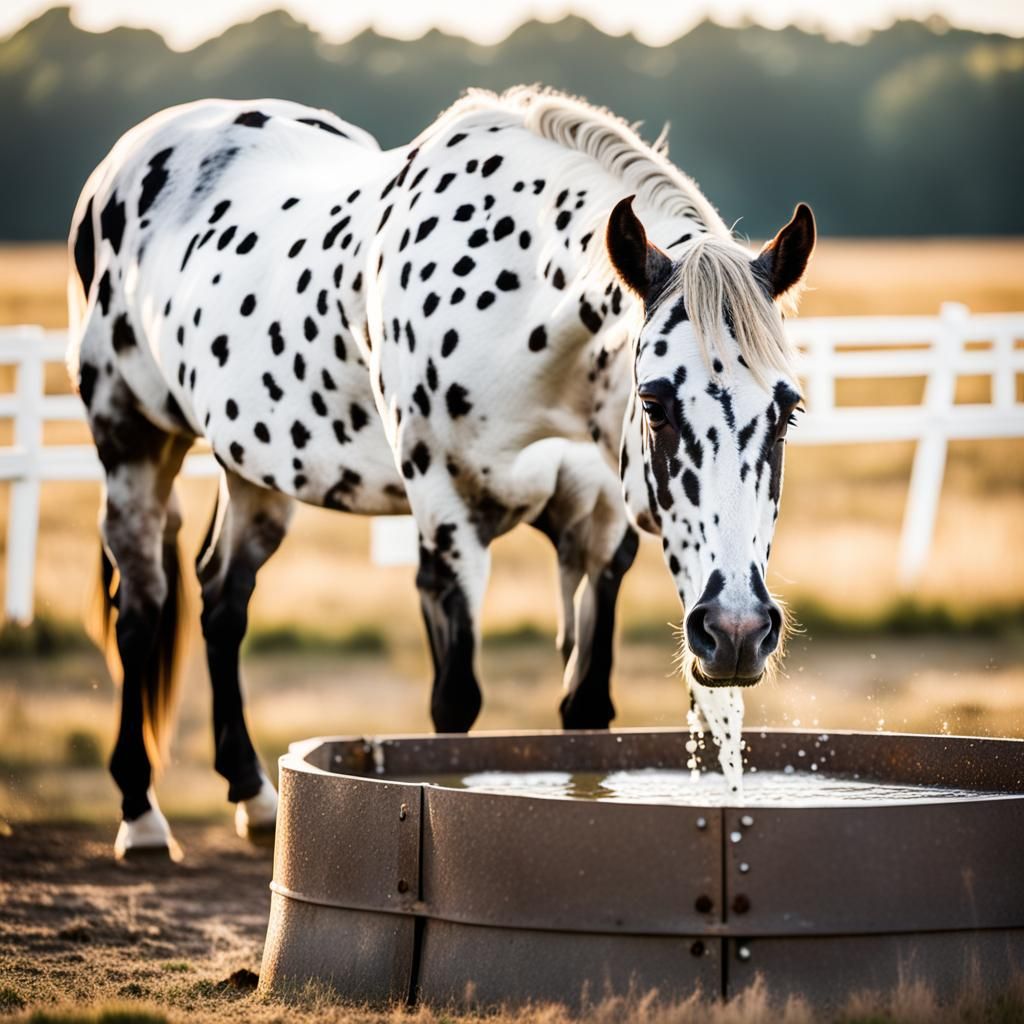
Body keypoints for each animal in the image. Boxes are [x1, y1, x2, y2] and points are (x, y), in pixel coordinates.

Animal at [67, 86, 813, 858]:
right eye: (655, 402)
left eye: (788, 409)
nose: (735, 632)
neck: (521, 316)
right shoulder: (450, 524)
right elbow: (453, 709)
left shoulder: (600, 533)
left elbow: (585, 706)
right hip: (132, 442)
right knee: (141, 607)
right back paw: (140, 815)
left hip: (253, 468)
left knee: (223, 599)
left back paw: (253, 795)